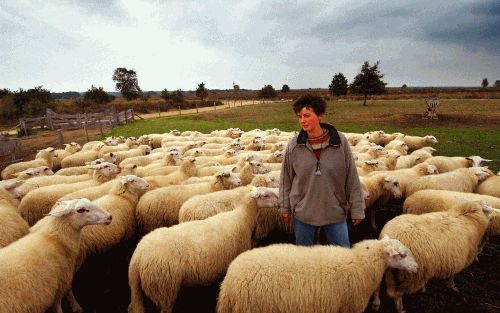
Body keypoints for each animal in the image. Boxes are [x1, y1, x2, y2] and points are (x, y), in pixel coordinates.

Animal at [127, 186, 280, 310]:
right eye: (266, 195)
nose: (279, 203)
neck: (243, 218)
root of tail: (137, 256)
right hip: (164, 287)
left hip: (143, 289)